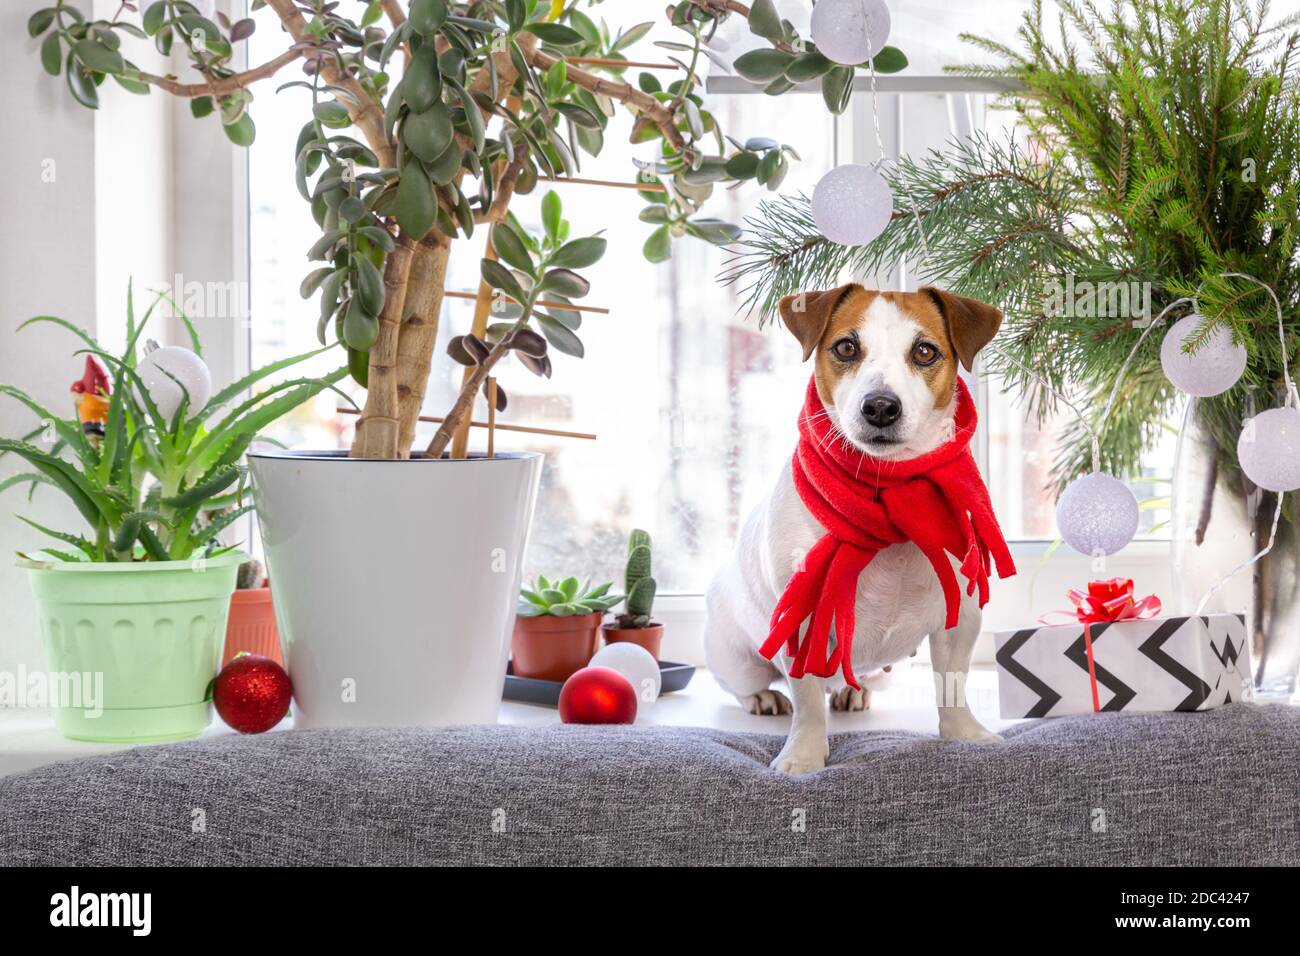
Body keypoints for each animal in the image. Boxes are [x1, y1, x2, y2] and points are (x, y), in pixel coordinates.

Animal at [707, 280, 1008, 775]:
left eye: (924, 351)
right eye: (846, 347)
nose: (881, 407)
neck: (889, 490)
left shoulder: (961, 617)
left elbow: (953, 683)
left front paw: (966, 734)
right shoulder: (802, 616)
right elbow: (808, 701)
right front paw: (804, 756)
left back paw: (853, 688)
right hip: (738, 658)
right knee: (750, 683)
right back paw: (764, 697)